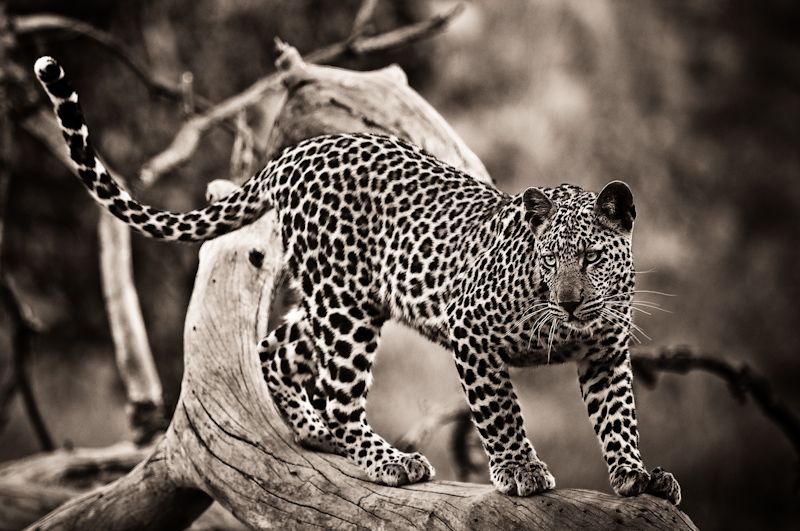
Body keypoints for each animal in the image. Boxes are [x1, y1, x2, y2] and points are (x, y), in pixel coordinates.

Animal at [34, 56, 680, 503]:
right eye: (548, 261)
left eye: (591, 257)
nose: (569, 305)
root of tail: (295, 154)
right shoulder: (470, 332)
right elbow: (501, 411)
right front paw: (519, 469)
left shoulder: (605, 352)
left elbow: (618, 418)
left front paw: (638, 476)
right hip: (345, 308)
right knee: (340, 394)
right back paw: (385, 459)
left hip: (340, 300)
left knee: (274, 347)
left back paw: (312, 430)